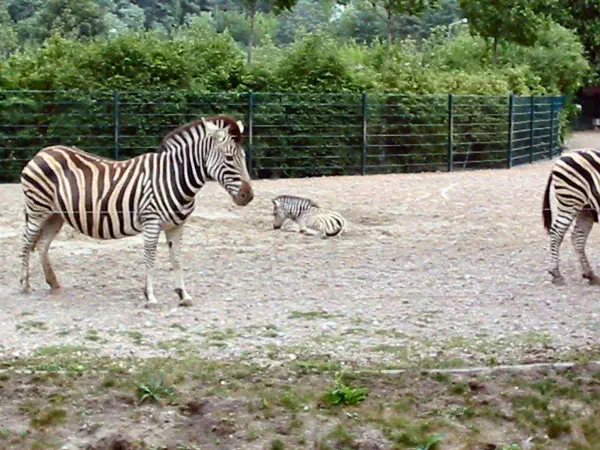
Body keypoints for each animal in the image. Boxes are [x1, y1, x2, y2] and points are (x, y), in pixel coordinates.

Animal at [19, 115, 254, 308]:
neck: (173, 177)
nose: (248, 196)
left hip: (55, 215)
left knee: (42, 245)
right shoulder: (151, 222)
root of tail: (43, 151)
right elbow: (150, 259)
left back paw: (54, 284)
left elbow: (177, 259)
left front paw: (183, 295)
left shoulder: (177, 225)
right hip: (37, 210)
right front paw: (150, 297)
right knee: (26, 242)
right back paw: (25, 286)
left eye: (243, 156)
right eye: (229, 158)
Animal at [542, 148, 600, 285]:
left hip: (586, 208)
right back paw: (556, 273)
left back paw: (589, 274)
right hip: (570, 201)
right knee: (557, 232)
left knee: (578, 237)